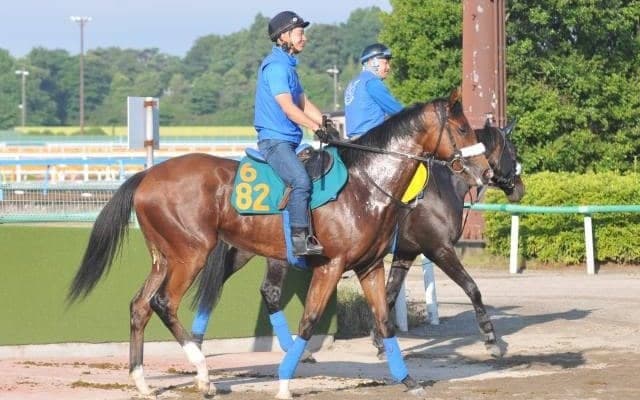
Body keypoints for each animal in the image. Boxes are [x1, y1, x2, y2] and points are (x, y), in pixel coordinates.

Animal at [191, 120, 524, 362]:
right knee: (268, 291)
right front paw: (492, 340)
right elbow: (472, 288)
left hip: (242, 249)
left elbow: (388, 295)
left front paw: (380, 340)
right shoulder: (439, 249)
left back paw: (198, 343)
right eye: (512, 149)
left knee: (220, 286)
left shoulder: (404, 253)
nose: (520, 187)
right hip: (275, 254)